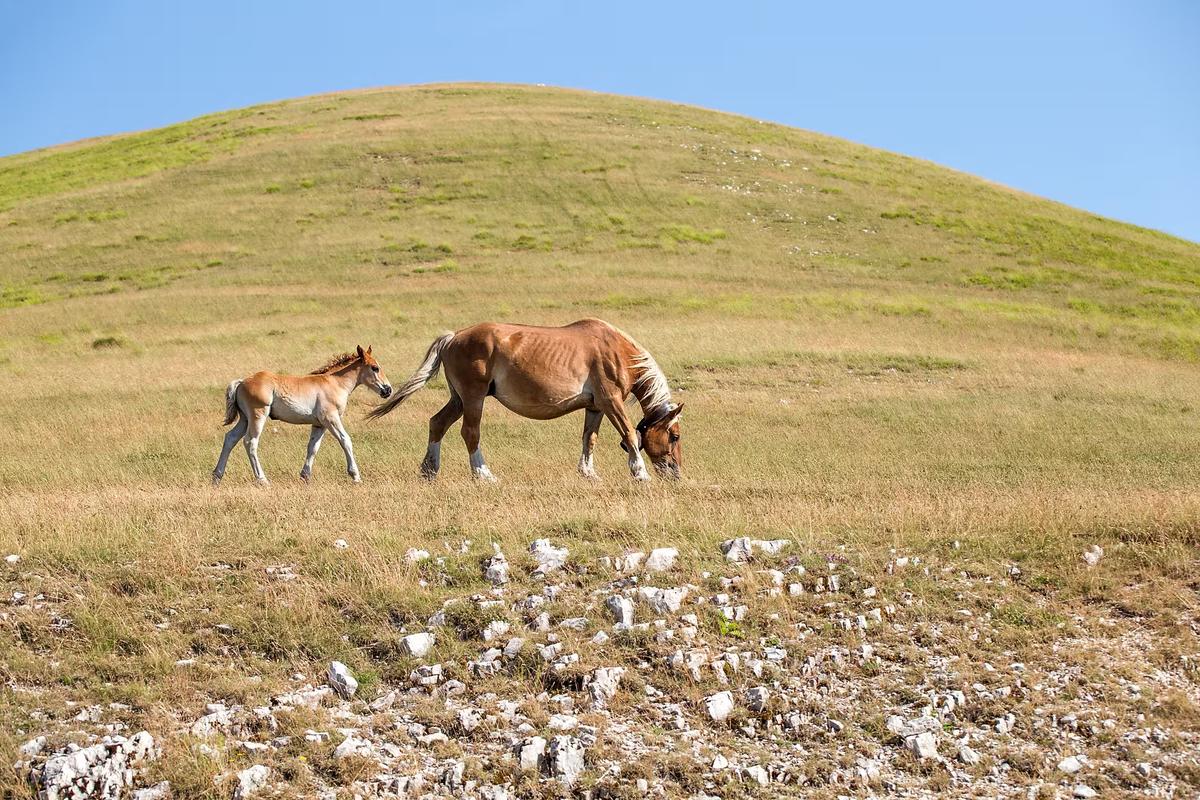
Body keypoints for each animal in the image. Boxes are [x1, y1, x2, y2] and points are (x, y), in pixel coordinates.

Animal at [208, 345, 391, 484]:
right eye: (375, 368)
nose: (388, 390)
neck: (335, 383)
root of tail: (242, 382)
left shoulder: (319, 424)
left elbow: (313, 447)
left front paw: (305, 476)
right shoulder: (330, 418)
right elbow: (345, 440)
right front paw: (356, 476)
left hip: (245, 419)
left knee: (230, 438)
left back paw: (217, 477)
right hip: (257, 416)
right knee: (250, 442)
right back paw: (262, 480)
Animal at [364, 319, 686, 482]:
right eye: (675, 436)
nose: (676, 474)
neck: (619, 353)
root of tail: (454, 337)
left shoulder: (595, 407)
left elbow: (589, 439)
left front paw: (588, 473)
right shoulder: (611, 402)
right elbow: (630, 435)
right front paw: (639, 473)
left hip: (458, 400)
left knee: (437, 424)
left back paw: (429, 470)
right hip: (473, 398)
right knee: (470, 433)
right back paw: (483, 474)